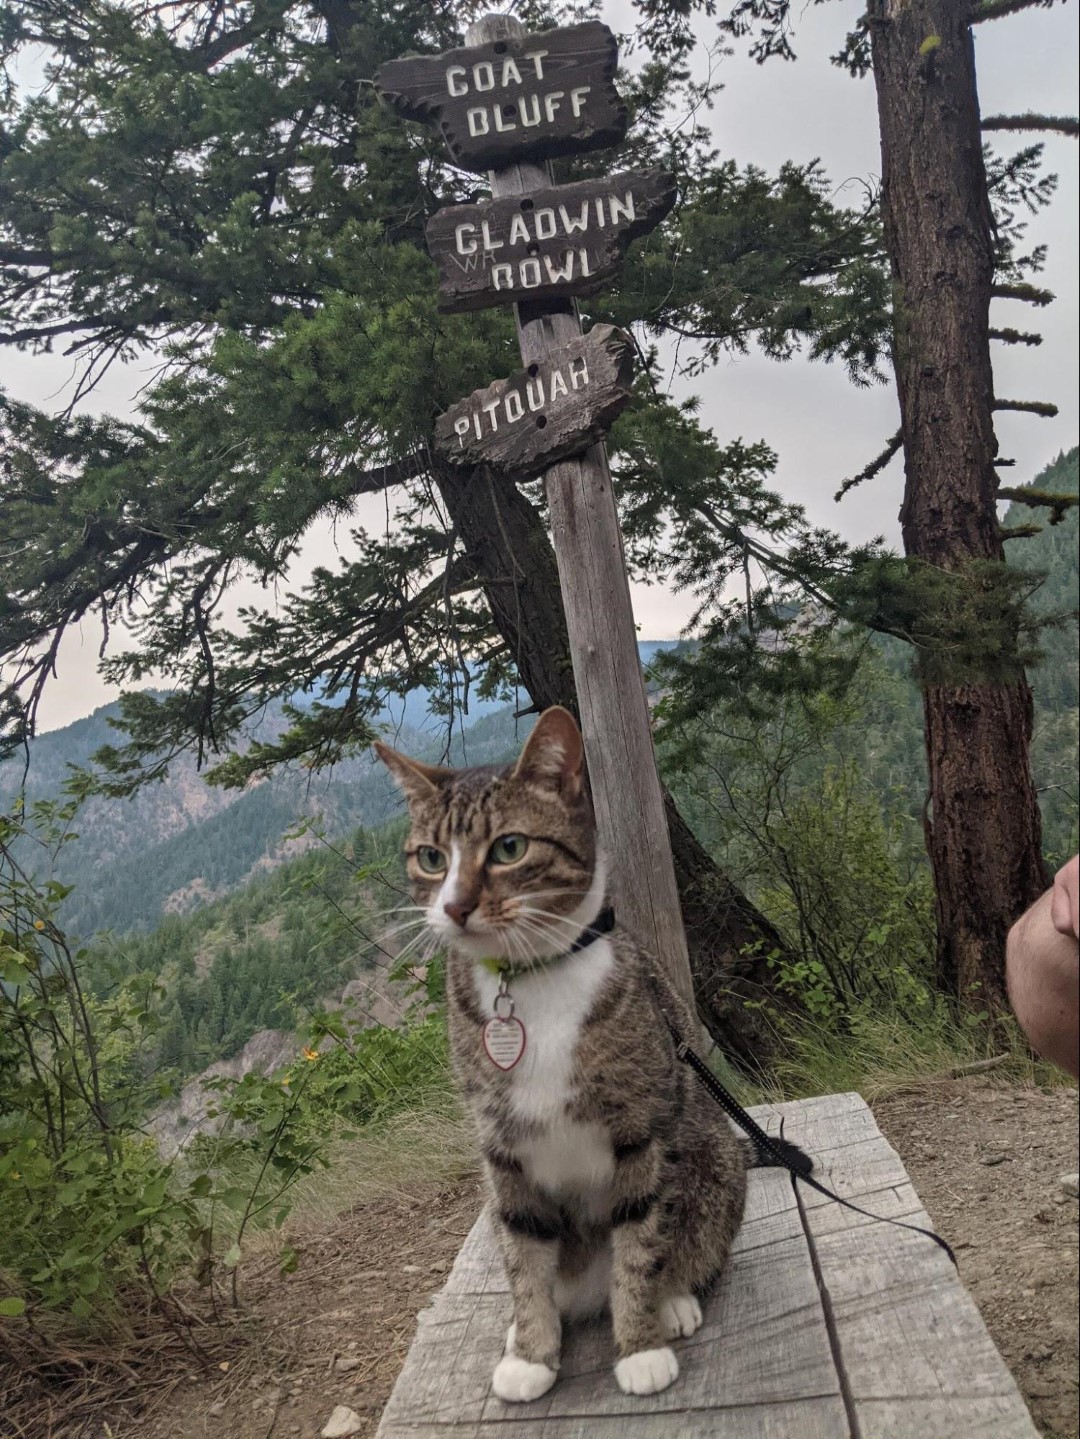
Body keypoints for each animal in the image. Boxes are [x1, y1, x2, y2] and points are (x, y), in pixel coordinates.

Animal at [376, 707, 747, 1404]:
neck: (531, 982)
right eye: (432, 858)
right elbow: (524, 1257)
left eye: (510, 848)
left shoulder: (640, 1129)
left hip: (717, 1155)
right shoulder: (501, 1151)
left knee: (685, 1242)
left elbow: (641, 1243)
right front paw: (531, 1353)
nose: (454, 906)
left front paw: (639, 1345)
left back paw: (673, 1301)